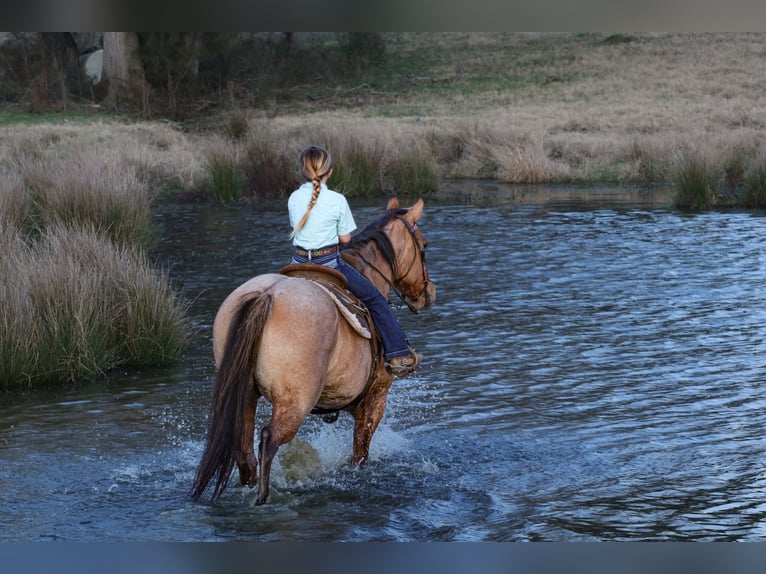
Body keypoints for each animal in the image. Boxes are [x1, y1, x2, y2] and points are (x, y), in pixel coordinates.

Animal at [189, 197, 436, 504]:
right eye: (424, 245)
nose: (428, 293)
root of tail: (267, 295)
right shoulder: (374, 399)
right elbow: (359, 456)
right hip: (295, 401)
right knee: (269, 439)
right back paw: (263, 498)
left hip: (244, 394)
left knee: (245, 451)